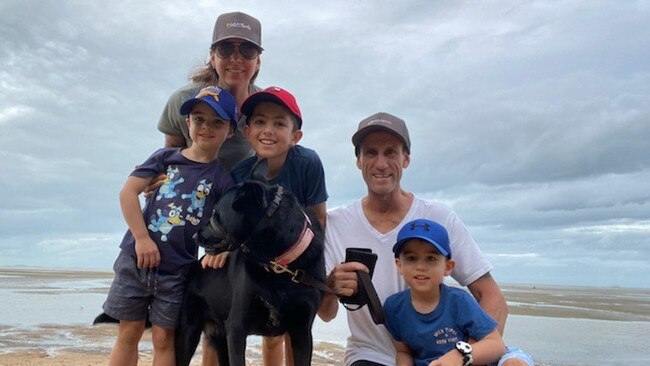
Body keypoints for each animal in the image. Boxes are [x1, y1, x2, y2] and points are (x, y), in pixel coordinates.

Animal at [173, 162, 324, 366]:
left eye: (215, 213)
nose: (195, 236)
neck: (278, 264)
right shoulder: (236, 329)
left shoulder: (302, 332)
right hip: (189, 332)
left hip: (220, 338)